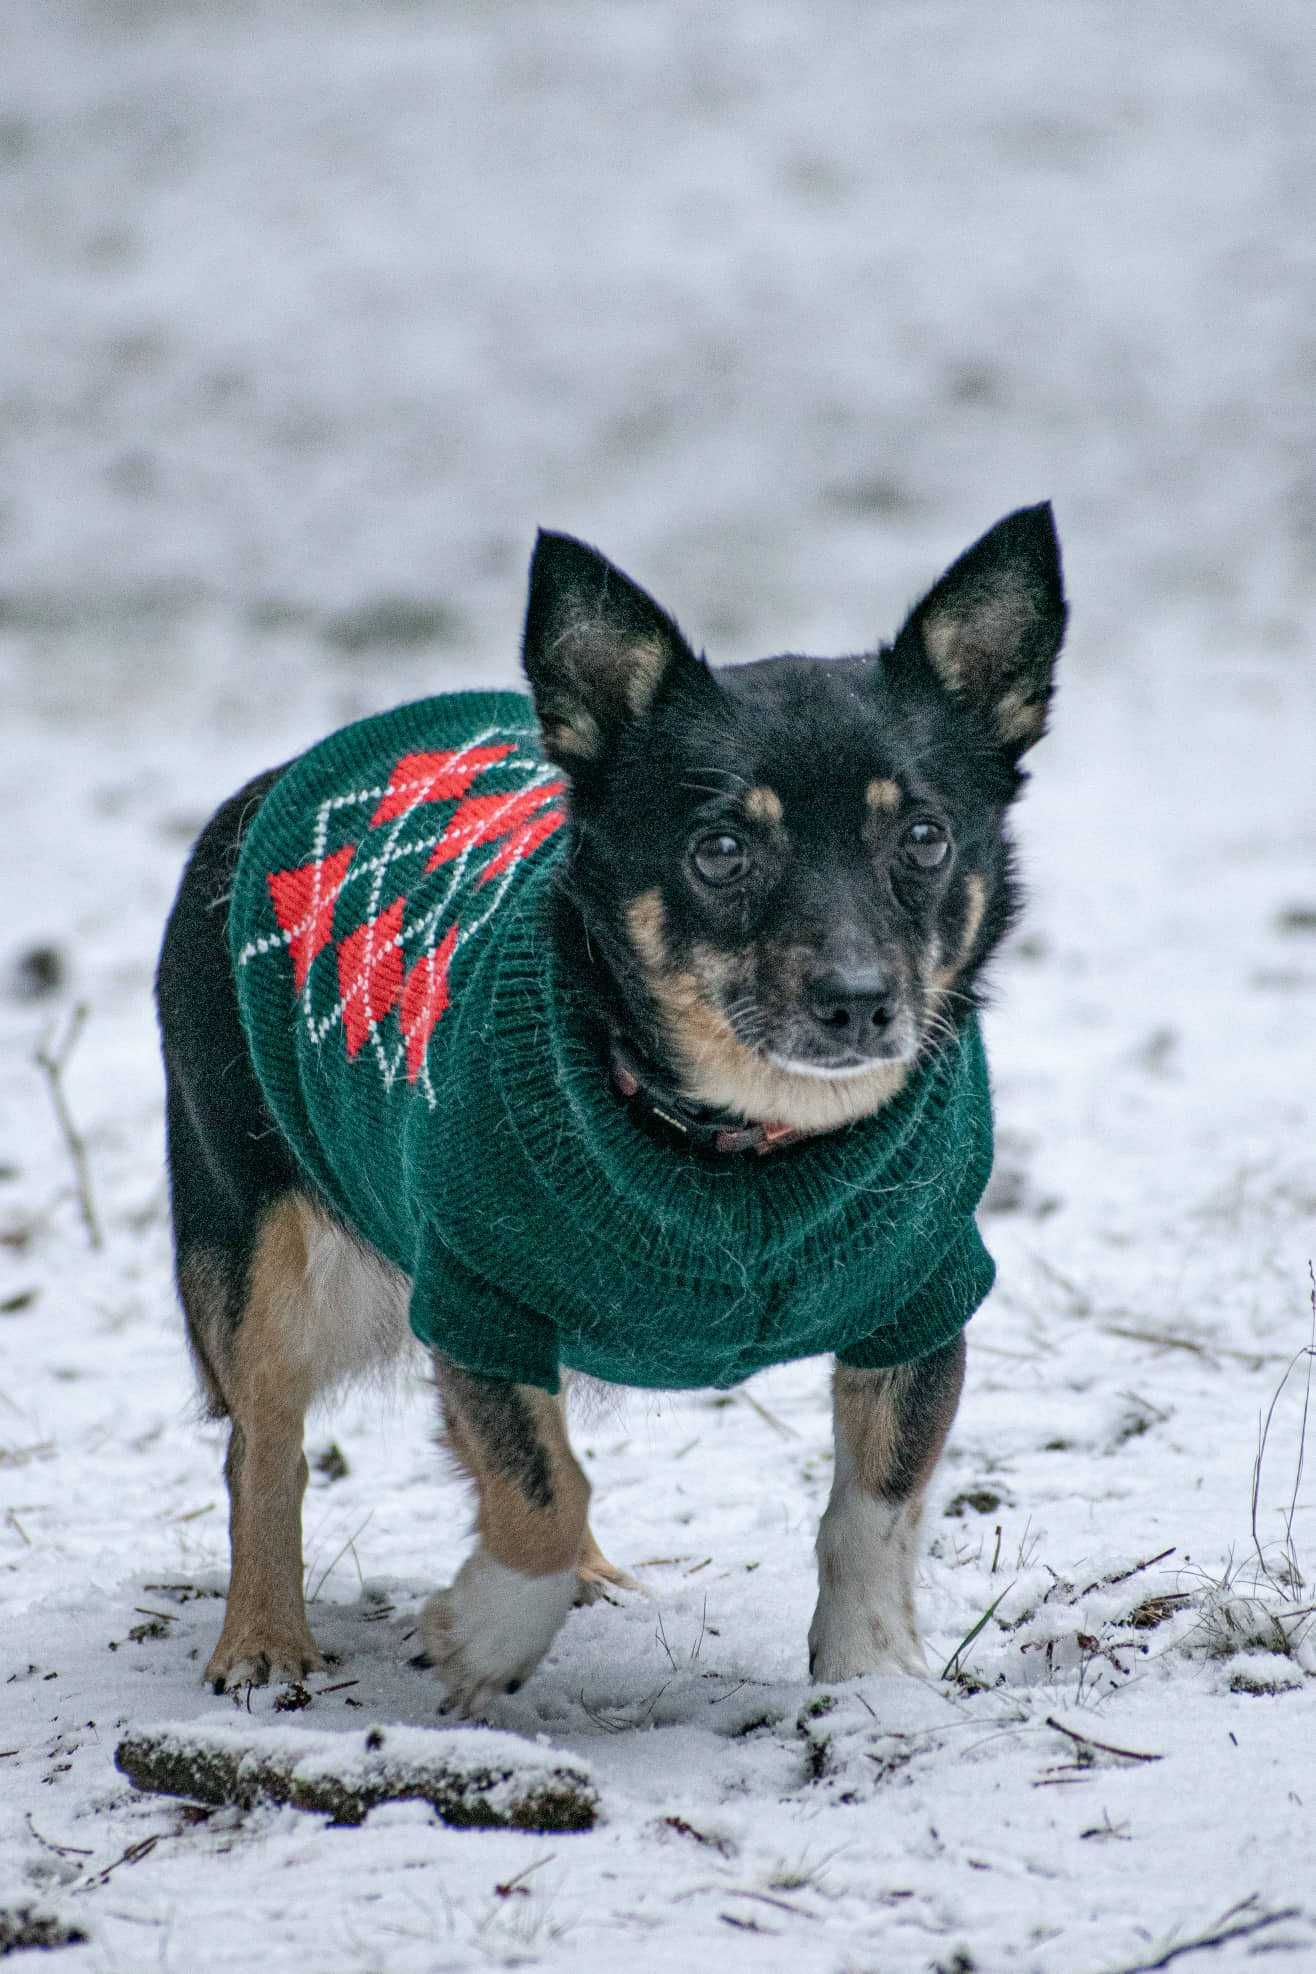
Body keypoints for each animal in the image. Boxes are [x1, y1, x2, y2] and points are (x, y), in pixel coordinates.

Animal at [154, 505, 1065, 1713]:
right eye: (721, 849)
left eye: (922, 837)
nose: (859, 1001)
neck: (743, 1140)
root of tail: (273, 779)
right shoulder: (479, 1291)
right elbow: (537, 1493)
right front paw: (486, 1632)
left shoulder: (916, 1304)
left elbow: (870, 1510)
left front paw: (869, 1671)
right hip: (255, 1255)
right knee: (265, 1452)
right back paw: (263, 1636)